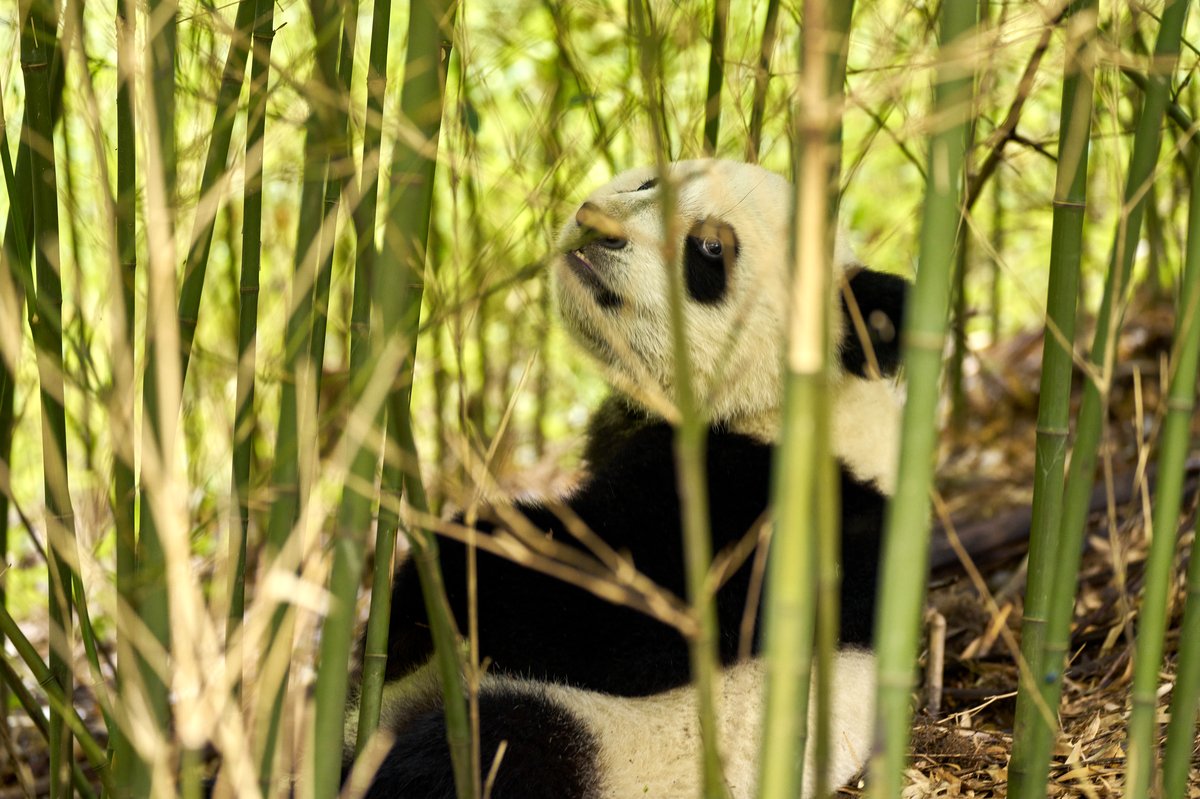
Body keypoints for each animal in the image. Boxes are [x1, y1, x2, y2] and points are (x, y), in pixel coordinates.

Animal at [343, 159, 909, 799]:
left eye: (711, 247)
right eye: (648, 182)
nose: (597, 224)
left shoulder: (766, 510)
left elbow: (616, 613)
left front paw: (424, 586)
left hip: (608, 746)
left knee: (492, 748)